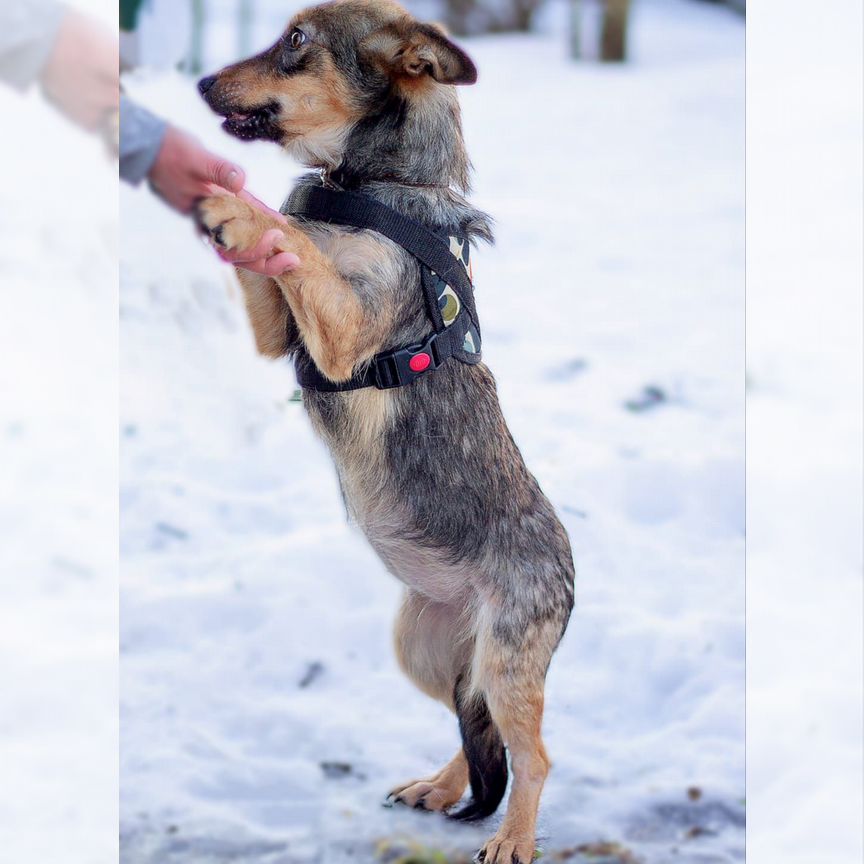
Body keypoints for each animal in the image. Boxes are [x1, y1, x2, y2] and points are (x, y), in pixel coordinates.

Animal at [196, 3, 572, 860]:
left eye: (296, 42)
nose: (198, 83)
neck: (379, 188)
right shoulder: (281, 331)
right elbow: (280, 245)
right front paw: (229, 207)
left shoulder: (341, 335)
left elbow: (295, 239)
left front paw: (239, 205)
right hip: (424, 651)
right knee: (476, 729)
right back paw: (439, 786)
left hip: (508, 658)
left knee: (533, 755)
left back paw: (513, 838)